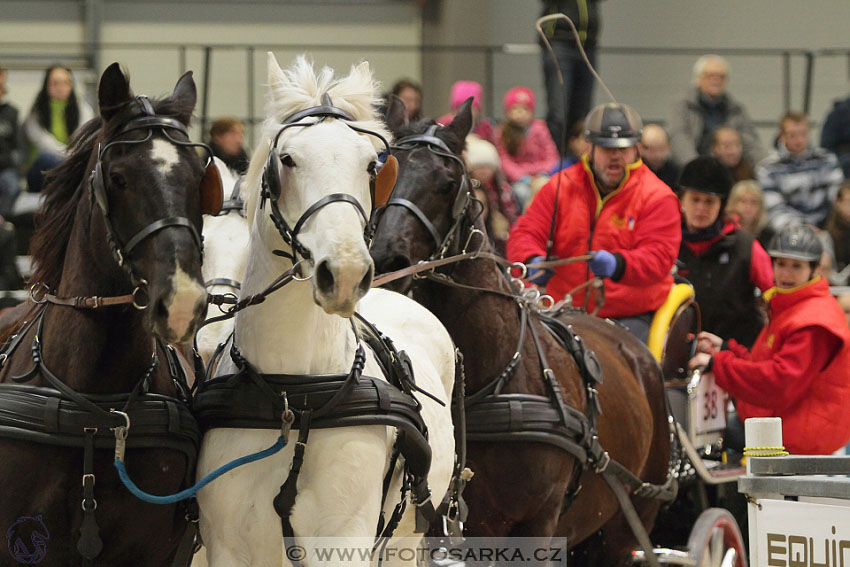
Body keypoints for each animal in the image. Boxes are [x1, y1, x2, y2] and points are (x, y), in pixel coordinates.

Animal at [194, 54, 458, 567]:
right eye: (288, 159)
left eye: (372, 165)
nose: (347, 271)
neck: (293, 398)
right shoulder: (227, 544)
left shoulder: (341, 539)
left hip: (404, 541)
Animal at [368, 96, 672, 564]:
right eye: (384, 172)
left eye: (448, 182)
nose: (387, 257)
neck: (494, 378)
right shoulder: (449, 527)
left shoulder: (538, 524)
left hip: (631, 518)